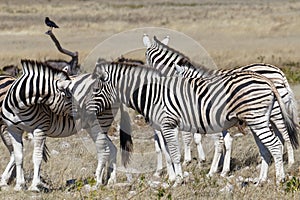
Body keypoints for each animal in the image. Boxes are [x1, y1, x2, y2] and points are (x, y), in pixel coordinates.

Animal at [0, 60, 132, 191]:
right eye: (68, 96)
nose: (81, 111)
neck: (20, 107)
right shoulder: (13, 130)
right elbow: (18, 156)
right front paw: (19, 185)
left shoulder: (40, 128)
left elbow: (36, 156)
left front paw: (34, 186)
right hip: (94, 127)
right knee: (112, 148)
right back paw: (110, 181)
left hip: (100, 123)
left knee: (104, 150)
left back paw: (98, 182)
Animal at [84, 60, 298, 185]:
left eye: (95, 90)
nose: (86, 111)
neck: (153, 94)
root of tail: (266, 77)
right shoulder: (165, 126)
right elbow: (169, 152)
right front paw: (173, 176)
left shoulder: (168, 124)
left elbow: (174, 153)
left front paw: (178, 179)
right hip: (257, 120)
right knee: (266, 148)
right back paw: (261, 180)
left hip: (261, 119)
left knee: (276, 144)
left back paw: (280, 178)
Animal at [143, 34, 298, 177]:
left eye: (146, 56)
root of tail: (279, 71)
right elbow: (224, 141)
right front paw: (221, 167)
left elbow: (193, 138)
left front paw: (196, 162)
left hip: (276, 112)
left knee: (285, 133)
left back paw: (290, 162)